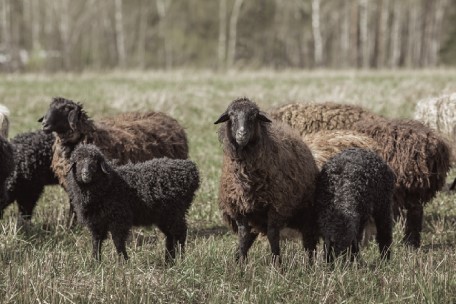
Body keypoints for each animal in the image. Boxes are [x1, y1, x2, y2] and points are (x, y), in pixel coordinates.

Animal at [65, 144, 200, 262]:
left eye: (95, 162)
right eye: (78, 160)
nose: (86, 174)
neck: (110, 183)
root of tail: (191, 170)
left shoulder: (119, 219)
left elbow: (118, 241)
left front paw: (123, 262)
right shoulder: (96, 222)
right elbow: (96, 242)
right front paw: (95, 262)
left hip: (175, 212)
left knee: (180, 234)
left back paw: (180, 259)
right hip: (165, 216)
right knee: (171, 236)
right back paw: (169, 261)